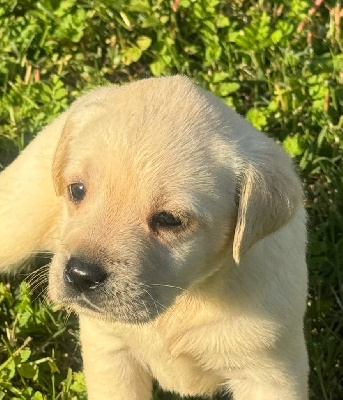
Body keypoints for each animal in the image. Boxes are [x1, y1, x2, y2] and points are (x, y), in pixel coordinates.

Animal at [0, 76, 310, 400]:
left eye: (170, 220)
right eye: (77, 190)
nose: (81, 275)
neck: (185, 297)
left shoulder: (269, 374)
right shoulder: (111, 350)